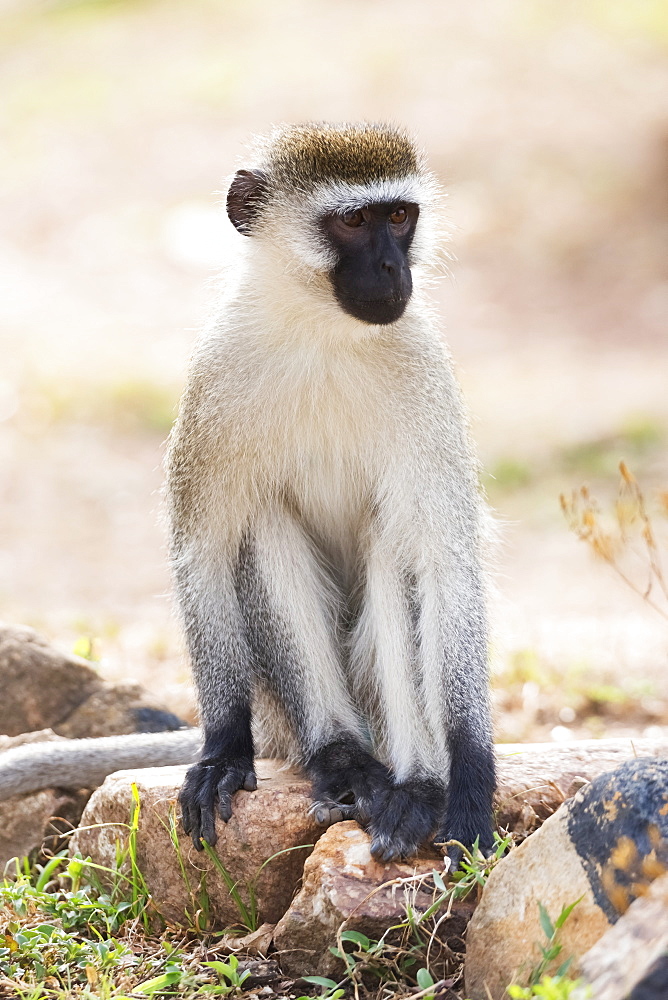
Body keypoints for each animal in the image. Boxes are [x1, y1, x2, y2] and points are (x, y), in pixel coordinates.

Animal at [0, 121, 496, 864]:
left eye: (400, 217)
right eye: (354, 222)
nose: (391, 270)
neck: (322, 327)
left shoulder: (426, 375)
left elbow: (444, 564)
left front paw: (468, 781)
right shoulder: (217, 375)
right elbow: (202, 548)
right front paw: (224, 750)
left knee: (392, 544)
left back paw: (414, 791)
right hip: (279, 706)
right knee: (262, 524)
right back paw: (342, 759)